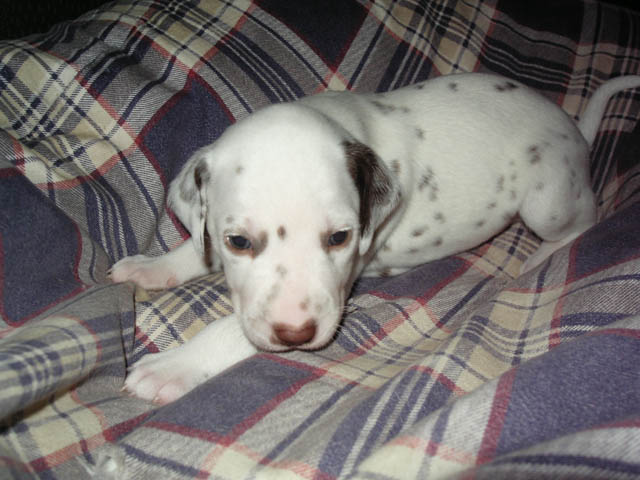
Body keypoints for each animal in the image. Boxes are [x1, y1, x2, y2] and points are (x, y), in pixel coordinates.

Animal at [111, 73, 640, 404]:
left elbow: (235, 328)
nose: (297, 334)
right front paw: (153, 266)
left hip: (547, 202)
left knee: (585, 219)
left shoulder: (344, 282)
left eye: (340, 236)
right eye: (238, 241)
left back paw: (544, 253)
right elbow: (197, 248)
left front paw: (173, 366)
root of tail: (574, 130)